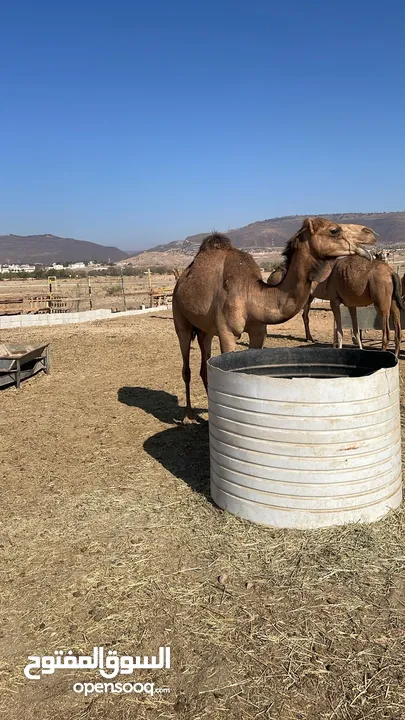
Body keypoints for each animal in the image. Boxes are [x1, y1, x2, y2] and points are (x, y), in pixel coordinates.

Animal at [172, 217, 374, 424]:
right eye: (334, 230)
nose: (370, 233)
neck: (251, 293)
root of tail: (181, 279)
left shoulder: (259, 331)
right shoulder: (227, 333)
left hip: (205, 329)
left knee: (204, 363)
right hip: (180, 318)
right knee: (186, 367)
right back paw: (188, 416)